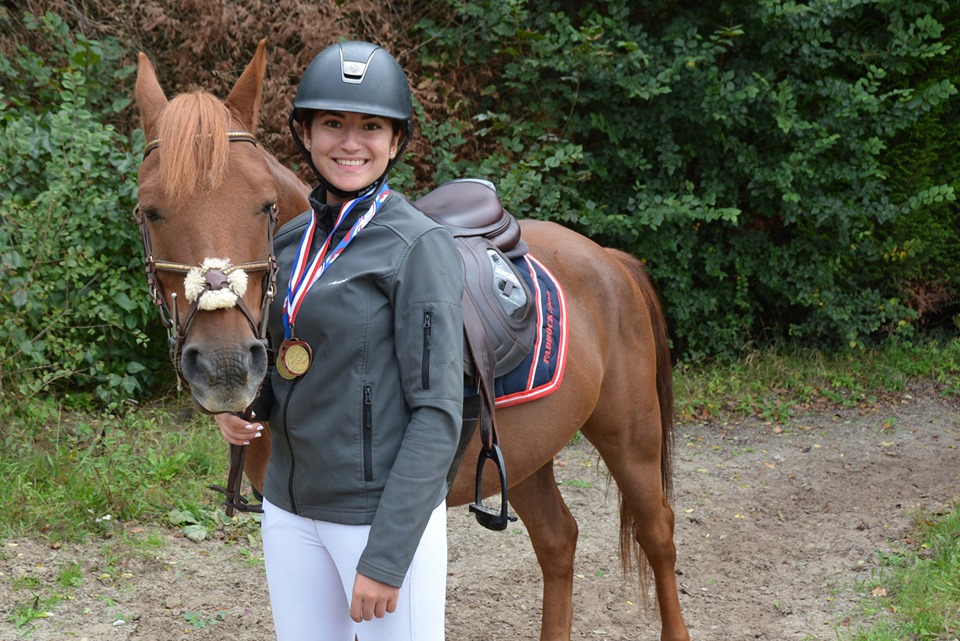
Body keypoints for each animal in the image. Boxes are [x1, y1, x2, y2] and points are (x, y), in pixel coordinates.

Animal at [135, 41, 688, 640]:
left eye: (263, 205)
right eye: (150, 209)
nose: (227, 366)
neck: (339, 227)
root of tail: (609, 258)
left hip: (630, 436)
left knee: (659, 535)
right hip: (528, 452)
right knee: (559, 541)